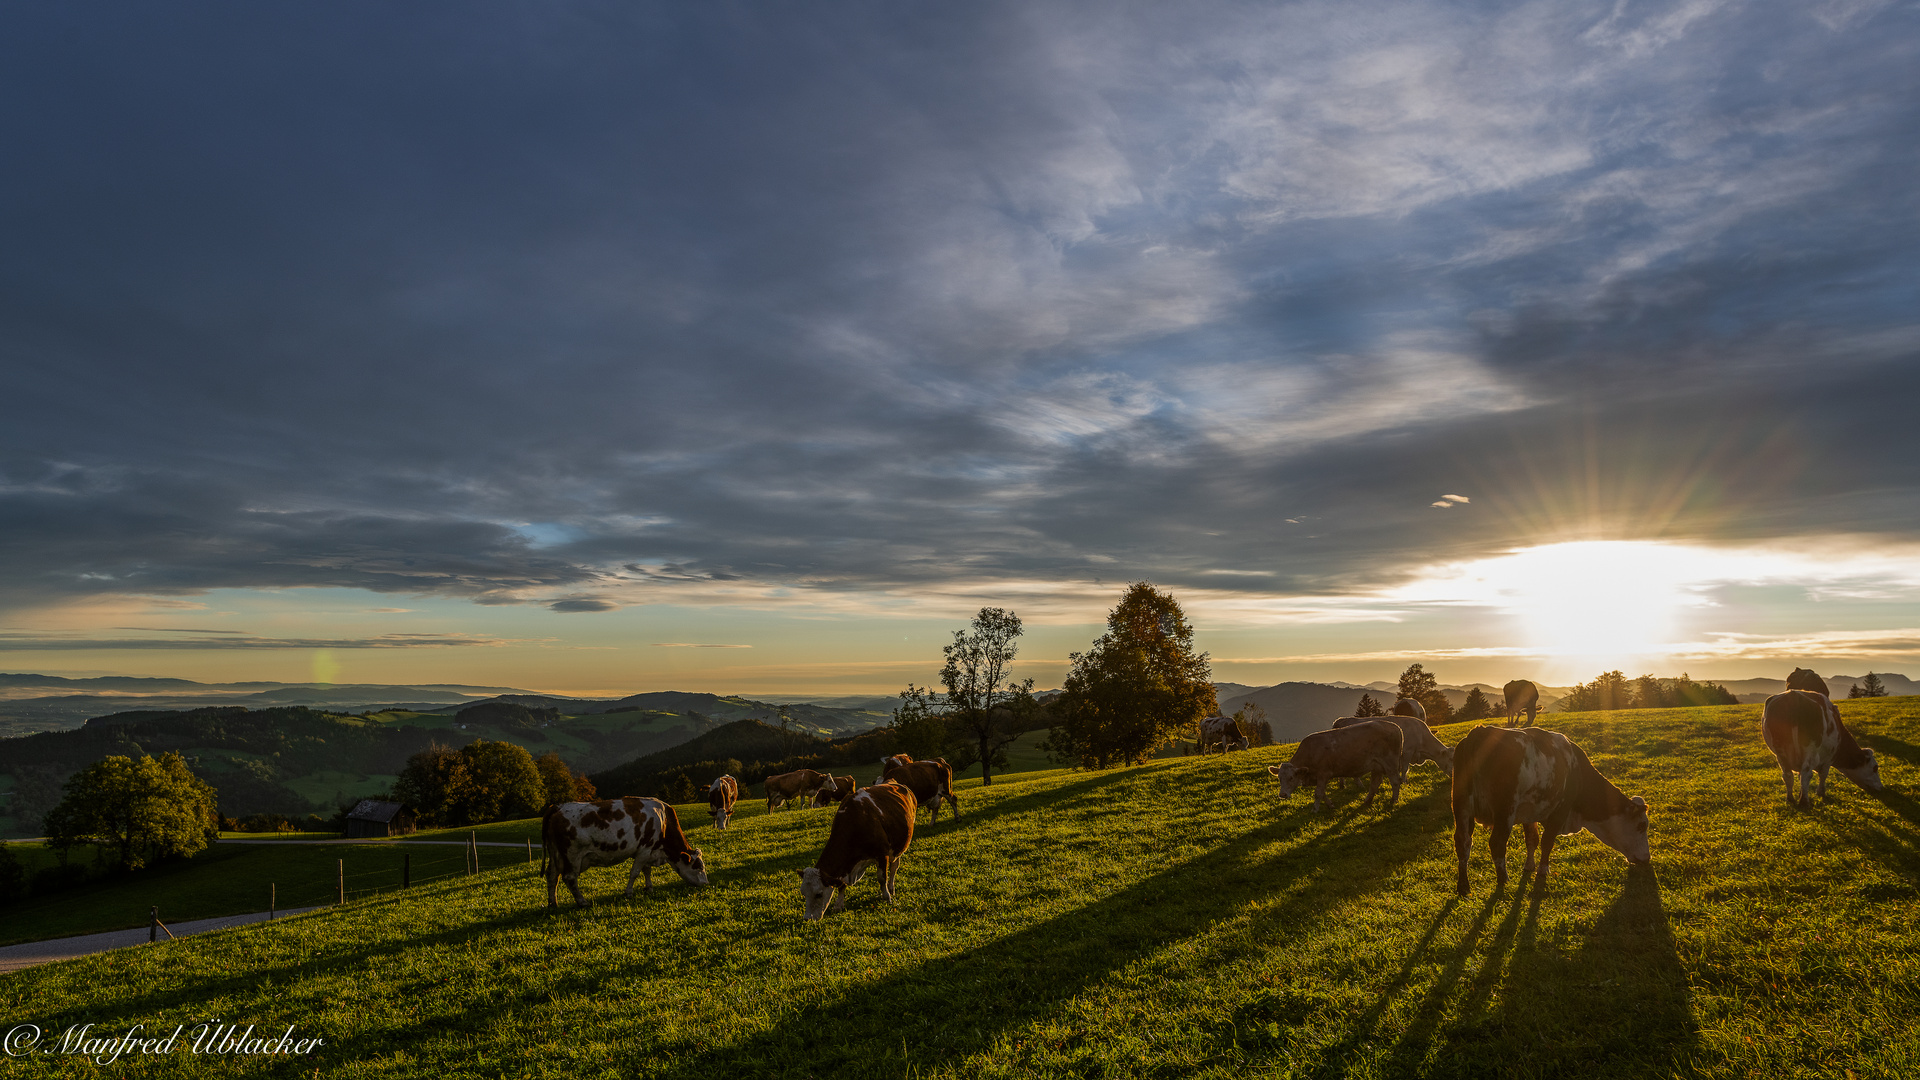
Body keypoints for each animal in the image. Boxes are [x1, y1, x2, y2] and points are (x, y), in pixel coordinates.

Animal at [545, 791, 710, 907]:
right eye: (699, 867)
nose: (706, 883)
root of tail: (558, 807)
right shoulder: (645, 849)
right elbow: (635, 872)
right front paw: (629, 892)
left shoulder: (648, 851)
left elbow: (646, 870)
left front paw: (649, 888)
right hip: (572, 856)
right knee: (569, 878)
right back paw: (582, 901)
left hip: (555, 854)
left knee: (552, 876)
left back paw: (553, 903)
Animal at [794, 772, 913, 914]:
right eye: (803, 893)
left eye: (819, 894)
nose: (808, 918)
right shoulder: (846, 866)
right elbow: (841, 884)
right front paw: (838, 904)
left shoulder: (882, 854)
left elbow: (881, 878)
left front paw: (886, 897)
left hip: (899, 847)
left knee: (894, 868)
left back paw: (891, 888)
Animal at [1267, 718, 1405, 810]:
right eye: (1279, 778)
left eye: (1291, 778)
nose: (1282, 794)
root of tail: (1394, 726)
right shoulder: (1318, 778)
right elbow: (1322, 793)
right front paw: (1330, 805)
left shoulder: (1323, 774)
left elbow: (1318, 793)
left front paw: (1315, 809)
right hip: (1376, 766)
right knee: (1375, 784)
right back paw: (1367, 801)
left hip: (1390, 763)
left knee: (1395, 781)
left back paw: (1393, 800)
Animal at [1451, 722, 1651, 891]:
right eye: (1642, 826)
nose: (1647, 859)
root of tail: (1479, 732)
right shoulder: (1560, 809)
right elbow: (1547, 841)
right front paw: (1542, 869)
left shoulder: (1530, 812)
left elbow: (1532, 839)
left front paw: (1529, 866)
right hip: (1505, 810)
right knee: (1497, 843)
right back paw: (1503, 880)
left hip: (1461, 807)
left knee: (1463, 842)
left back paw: (1463, 886)